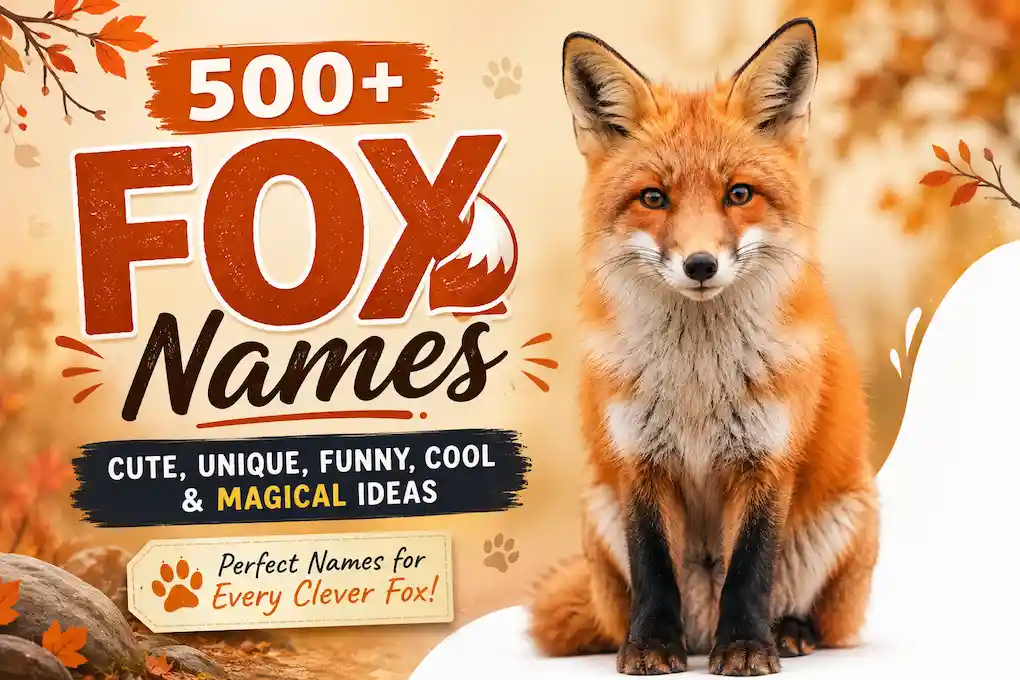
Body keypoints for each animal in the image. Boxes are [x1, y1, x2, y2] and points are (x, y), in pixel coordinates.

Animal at [528, 18, 878, 677]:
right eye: (653, 198)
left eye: (738, 194)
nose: (699, 265)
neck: (697, 382)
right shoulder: (637, 459)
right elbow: (653, 569)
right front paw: (649, 647)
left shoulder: (767, 457)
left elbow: (750, 569)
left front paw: (744, 647)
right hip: (598, 509)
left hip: (847, 521)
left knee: (823, 620)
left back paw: (788, 632)